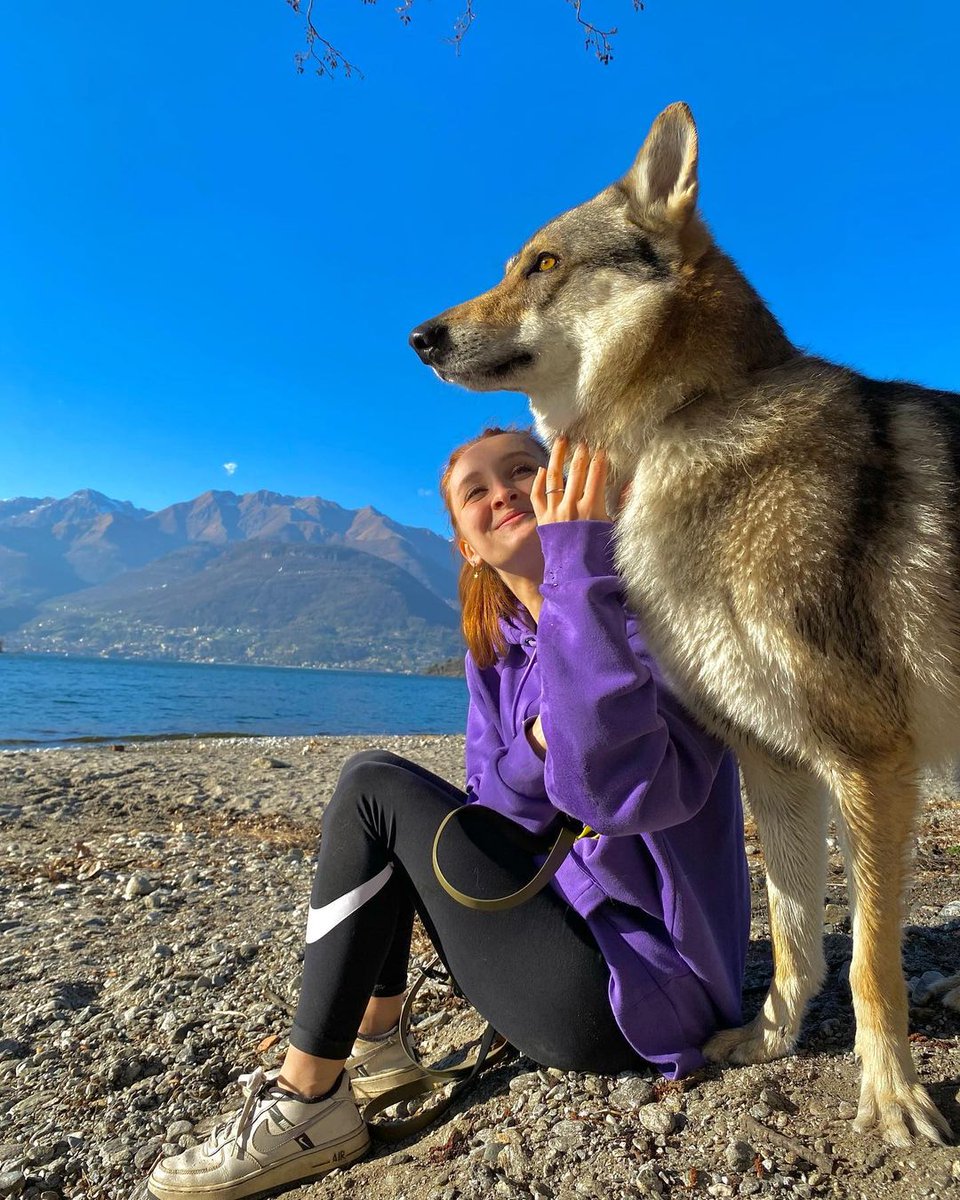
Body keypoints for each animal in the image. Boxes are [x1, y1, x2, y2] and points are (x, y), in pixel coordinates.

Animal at [409, 102, 960, 1145]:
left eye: (542, 263)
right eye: (511, 265)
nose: (419, 334)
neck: (689, 423)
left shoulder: (871, 761)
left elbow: (869, 960)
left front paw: (893, 1097)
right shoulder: (776, 765)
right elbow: (793, 939)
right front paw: (770, 1042)